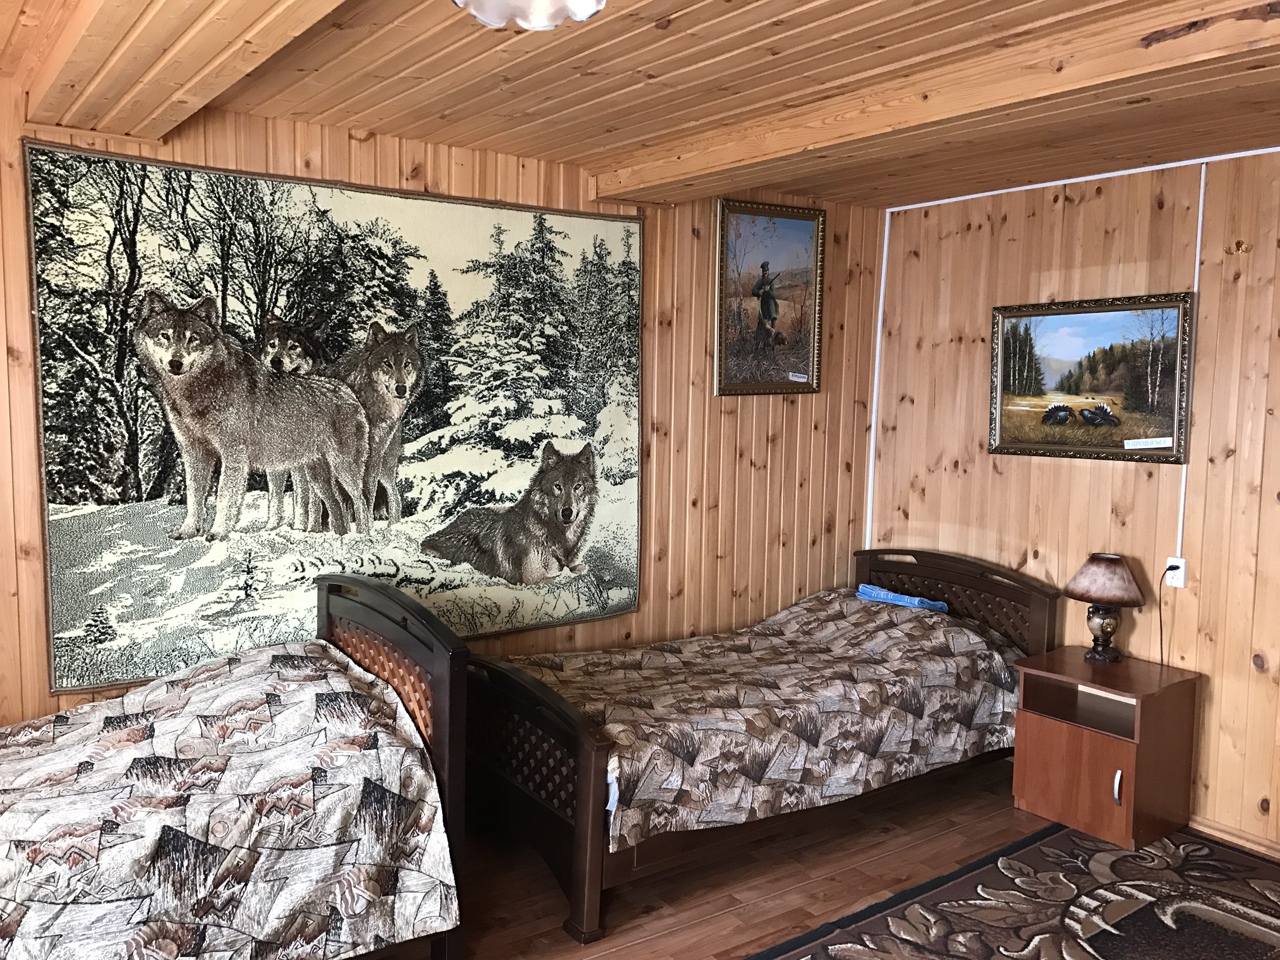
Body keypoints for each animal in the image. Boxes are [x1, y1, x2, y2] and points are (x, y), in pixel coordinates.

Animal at [134, 291, 371, 540]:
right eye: (165, 336)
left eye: (193, 339)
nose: (175, 363)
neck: (199, 391)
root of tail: (347, 391)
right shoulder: (194, 453)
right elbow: (194, 497)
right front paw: (188, 531)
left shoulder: (233, 454)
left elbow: (224, 496)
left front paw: (217, 533)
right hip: (316, 475)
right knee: (336, 505)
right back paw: (340, 537)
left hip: (343, 469)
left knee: (361, 502)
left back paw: (363, 538)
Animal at [326, 320, 422, 526]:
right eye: (387, 363)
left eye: (406, 364)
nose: (401, 389)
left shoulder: (372, 457)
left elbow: (366, 495)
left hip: (385, 464)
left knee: (394, 496)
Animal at [420, 441, 597, 586]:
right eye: (557, 486)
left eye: (577, 486)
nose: (567, 512)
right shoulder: (534, 579)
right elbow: (565, 574)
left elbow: (579, 567)